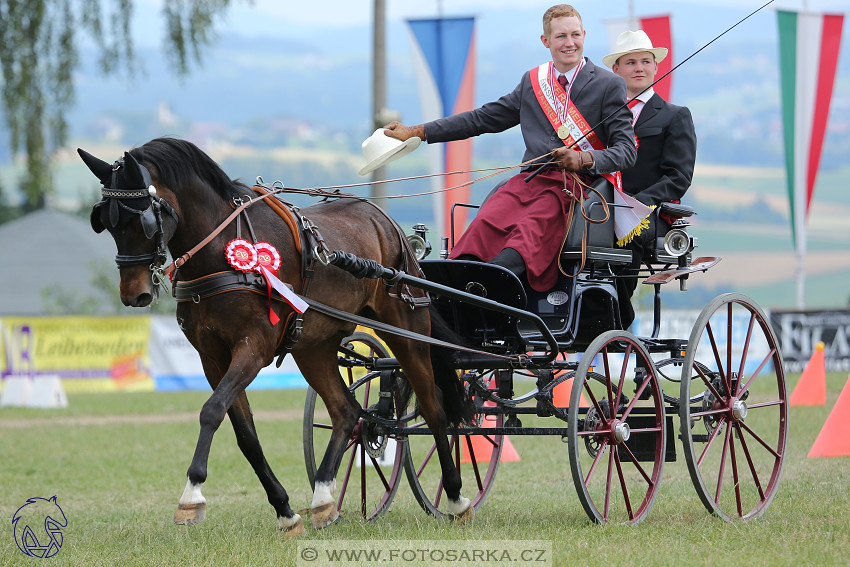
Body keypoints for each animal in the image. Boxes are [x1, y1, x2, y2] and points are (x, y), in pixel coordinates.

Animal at [81, 139, 470, 536]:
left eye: (141, 219)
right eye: (105, 222)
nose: (135, 294)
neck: (222, 252)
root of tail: (387, 223)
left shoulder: (254, 348)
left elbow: (211, 411)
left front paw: (191, 496)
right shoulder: (212, 358)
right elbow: (245, 434)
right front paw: (284, 509)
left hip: (407, 328)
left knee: (434, 409)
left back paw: (455, 497)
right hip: (314, 347)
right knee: (347, 411)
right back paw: (324, 498)